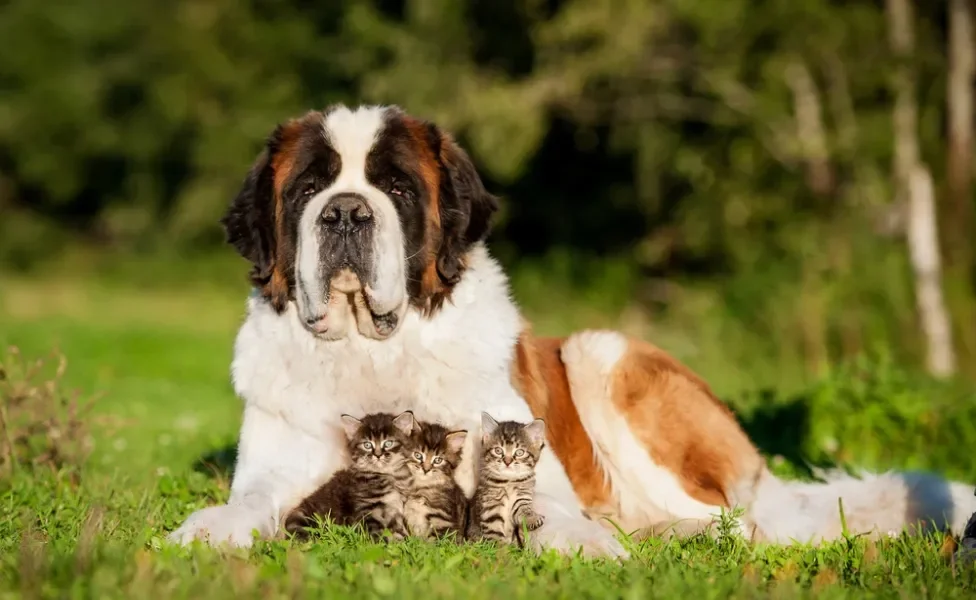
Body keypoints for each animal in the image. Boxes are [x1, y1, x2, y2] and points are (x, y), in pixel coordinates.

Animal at [286, 412, 416, 540]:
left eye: (388, 443)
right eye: (367, 445)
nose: (378, 455)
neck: (388, 475)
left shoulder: (396, 511)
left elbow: (399, 533)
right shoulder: (365, 511)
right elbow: (377, 536)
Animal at [468, 412, 548, 544]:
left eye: (519, 452)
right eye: (498, 450)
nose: (507, 461)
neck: (508, 482)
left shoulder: (522, 498)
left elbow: (524, 510)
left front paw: (532, 518)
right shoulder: (490, 507)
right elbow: (494, 532)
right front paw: (498, 547)